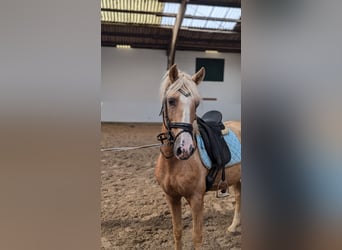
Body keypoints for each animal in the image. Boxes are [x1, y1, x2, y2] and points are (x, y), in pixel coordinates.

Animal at [155, 65, 240, 250]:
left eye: (196, 103)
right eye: (171, 101)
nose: (185, 148)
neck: (173, 163)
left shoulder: (196, 199)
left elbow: (197, 236)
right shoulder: (172, 197)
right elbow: (177, 232)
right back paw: (233, 227)